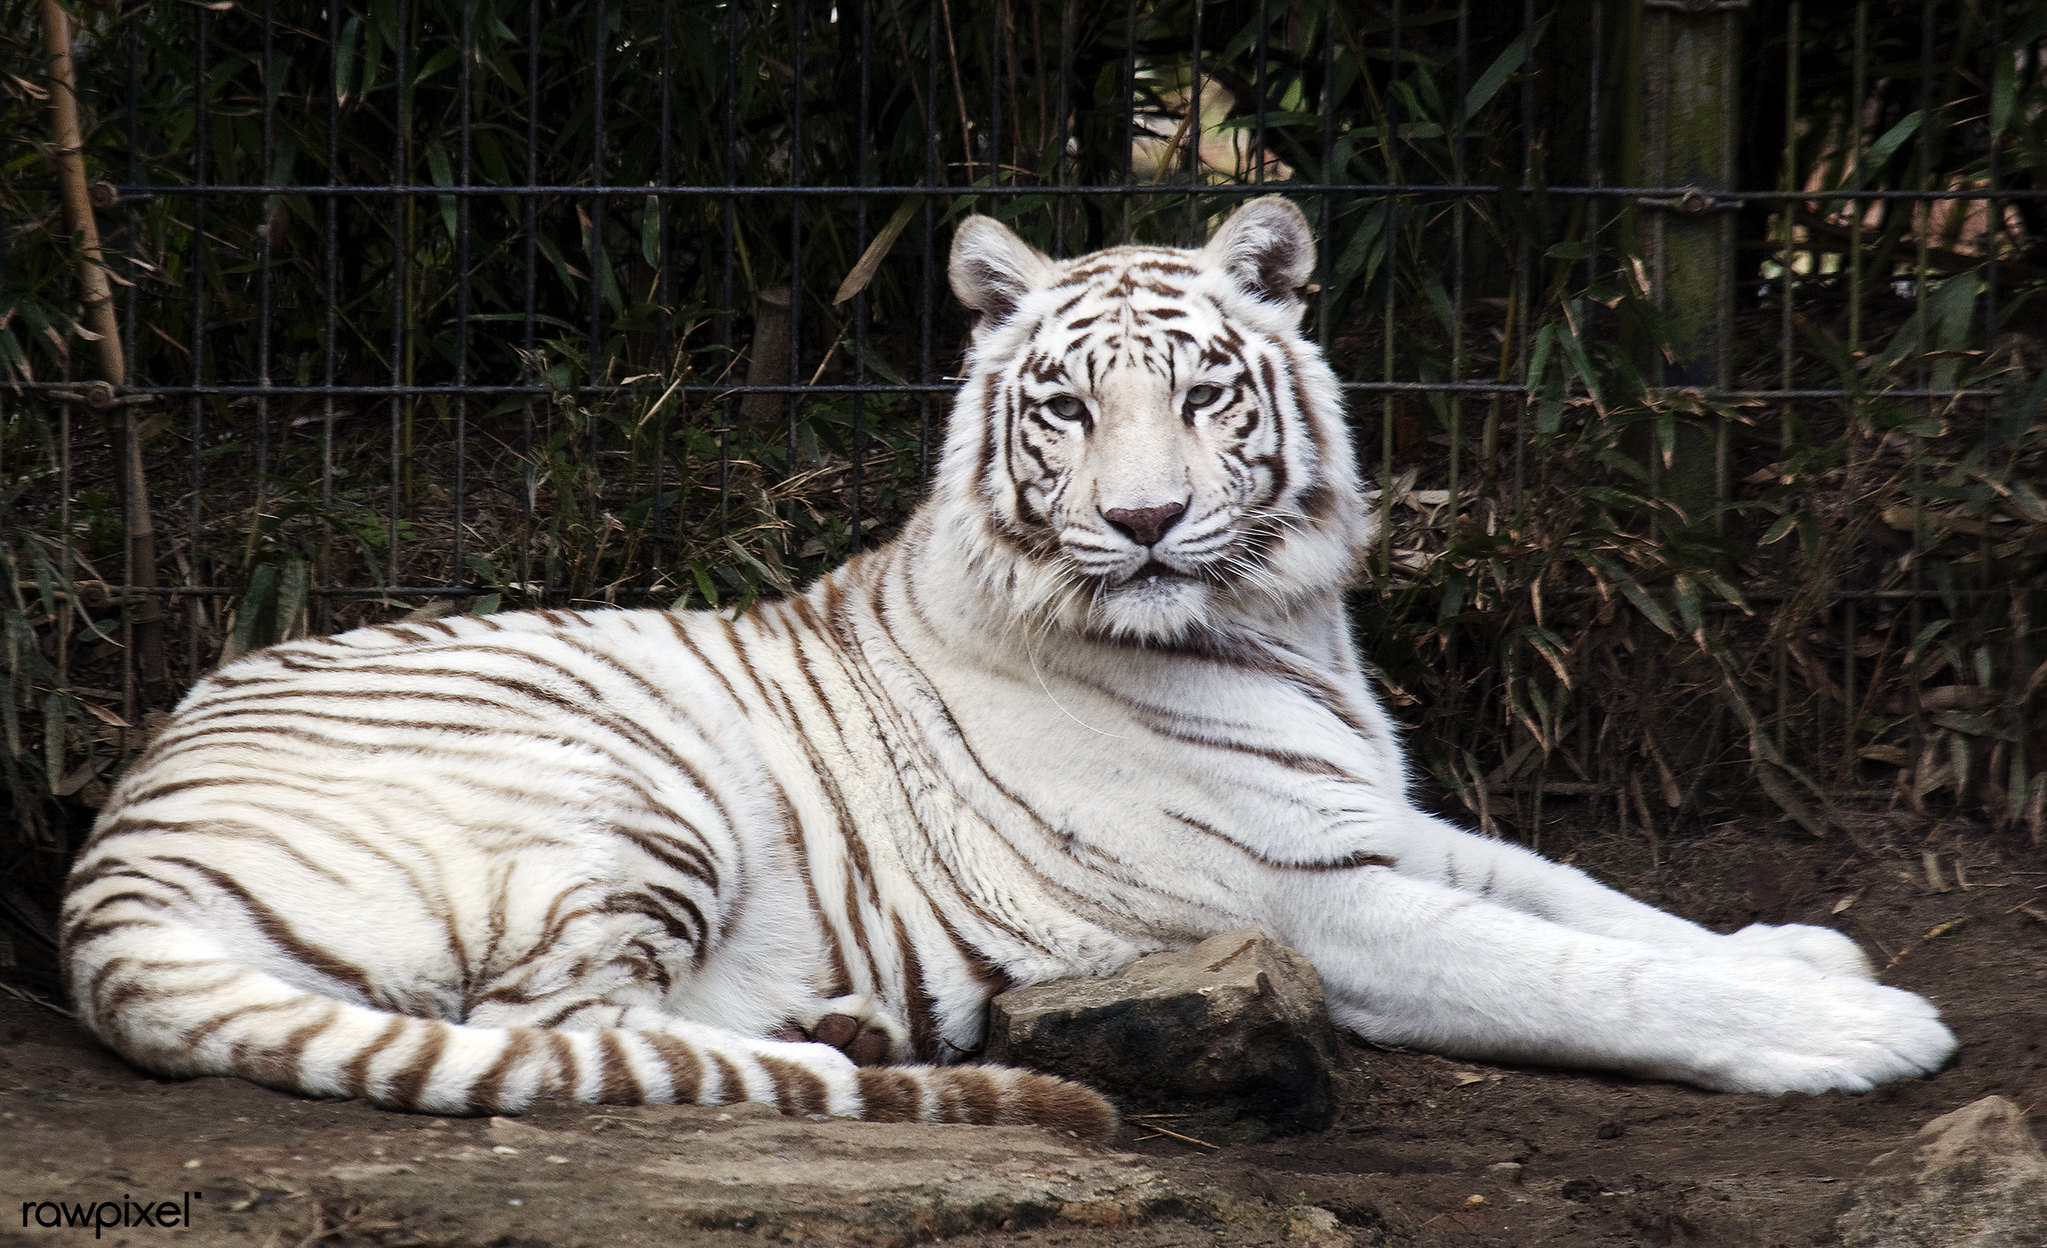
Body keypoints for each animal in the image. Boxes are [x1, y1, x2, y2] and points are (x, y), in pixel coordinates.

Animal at [60, 197, 1955, 1138]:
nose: (1141, 520)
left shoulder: (1372, 821)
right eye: (1062, 403)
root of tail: (111, 865)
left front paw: (1796, 948)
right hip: (637, 780)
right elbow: (1574, 970)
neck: (1276, 618)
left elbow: (1588, 894)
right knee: (555, 1029)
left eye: (1202, 391)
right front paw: (1851, 1029)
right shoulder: (1314, 895)